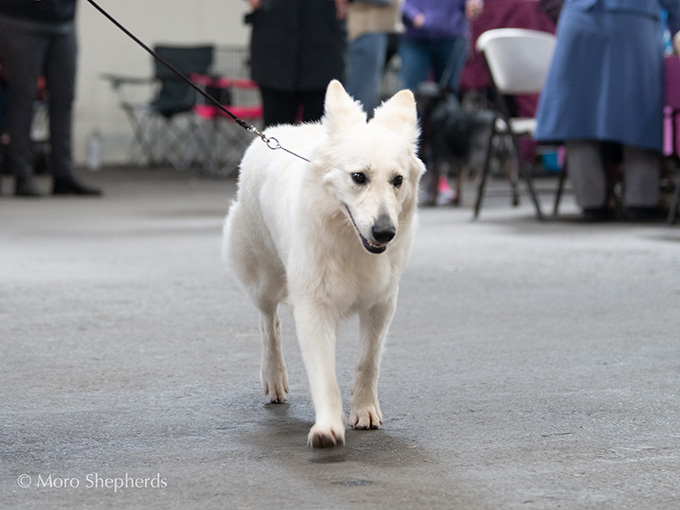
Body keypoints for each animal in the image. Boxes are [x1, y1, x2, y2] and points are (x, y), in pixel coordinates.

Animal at [224, 78, 424, 446]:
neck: (350, 241)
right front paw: (329, 427)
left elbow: (368, 361)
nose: (385, 232)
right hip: (265, 279)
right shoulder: (314, 307)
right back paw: (274, 377)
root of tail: (273, 133)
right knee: (269, 325)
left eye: (397, 180)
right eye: (358, 177)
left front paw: (364, 410)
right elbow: (324, 375)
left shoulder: (381, 305)